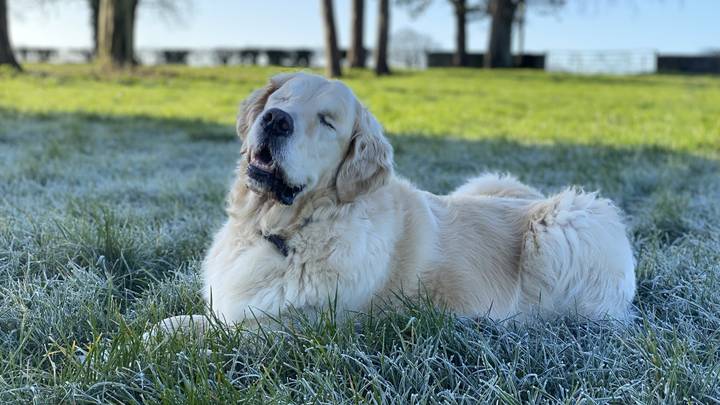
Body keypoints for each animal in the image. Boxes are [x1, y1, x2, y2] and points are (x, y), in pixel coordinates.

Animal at [156, 72, 636, 334]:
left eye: (327, 121)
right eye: (282, 98)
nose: (274, 120)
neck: (285, 228)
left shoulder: (302, 326)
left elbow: (216, 333)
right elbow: (185, 321)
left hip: (565, 223)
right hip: (492, 182)